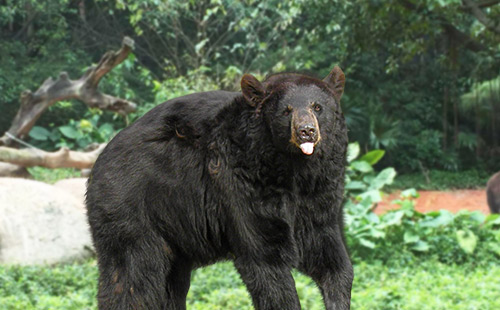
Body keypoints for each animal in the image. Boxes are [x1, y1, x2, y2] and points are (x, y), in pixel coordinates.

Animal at [85, 65, 352, 310]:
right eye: (286, 111)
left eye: (318, 107)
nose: (306, 131)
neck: (293, 170)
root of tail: (99, 160)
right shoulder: (243, 185)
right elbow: (265, 259)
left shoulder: (321, 193)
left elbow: (330, 256)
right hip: (132, 207)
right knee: (132, 277)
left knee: (171, 283)